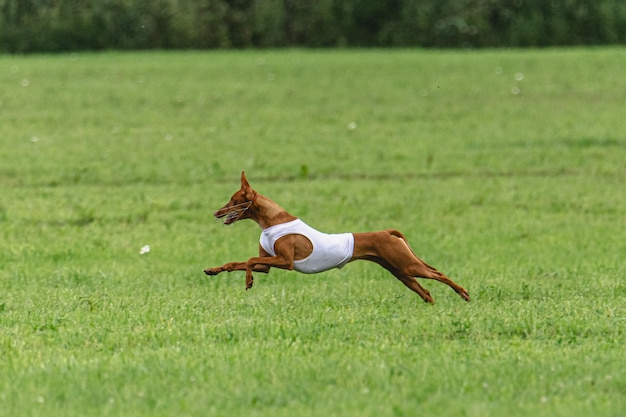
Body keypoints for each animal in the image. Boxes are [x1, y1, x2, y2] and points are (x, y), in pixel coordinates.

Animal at [205, 171, 468, 304]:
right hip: (400, 271)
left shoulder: (285, 262)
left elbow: (249, 261)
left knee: (439, 274)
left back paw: (463, 293)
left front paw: (248, 281)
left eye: (232, 200)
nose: (215, 212)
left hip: (408, 265)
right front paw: (213, 270)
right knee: (426, 292)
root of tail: (386, 232)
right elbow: (237, 263)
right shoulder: (267, 265)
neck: (272, 220)